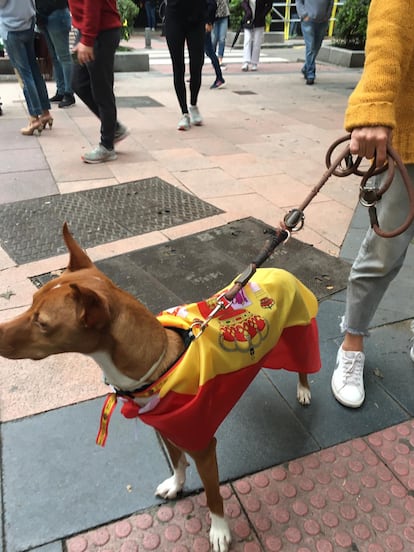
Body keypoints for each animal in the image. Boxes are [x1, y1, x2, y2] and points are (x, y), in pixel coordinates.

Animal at [0, 224, 320, 552]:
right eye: (31, 301)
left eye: (42, 323)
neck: (158, 367)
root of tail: (278, 269)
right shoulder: (166, 429)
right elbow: (177, 462)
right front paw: (176, 485)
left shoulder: (203, 448)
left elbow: (213, 496)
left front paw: (219, 530)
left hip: (299, 333)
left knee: (304, 366)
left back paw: (304, 389)